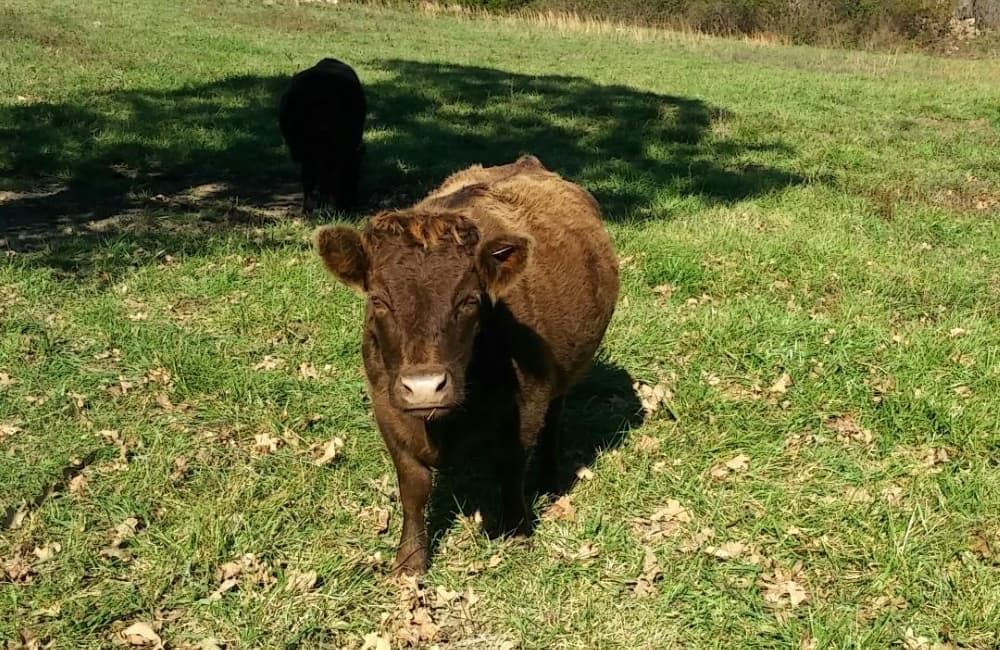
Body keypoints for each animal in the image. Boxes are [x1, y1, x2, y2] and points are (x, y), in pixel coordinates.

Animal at [314, 155, 619, 575]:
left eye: (469, 301)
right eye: (378, 300)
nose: (425, 387)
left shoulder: (527, 405)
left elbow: (510, 468)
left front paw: (517, 533)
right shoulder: (387, 407)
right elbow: (414, 486)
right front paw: (409, 561)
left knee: (553, 423)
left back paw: (550, 479)